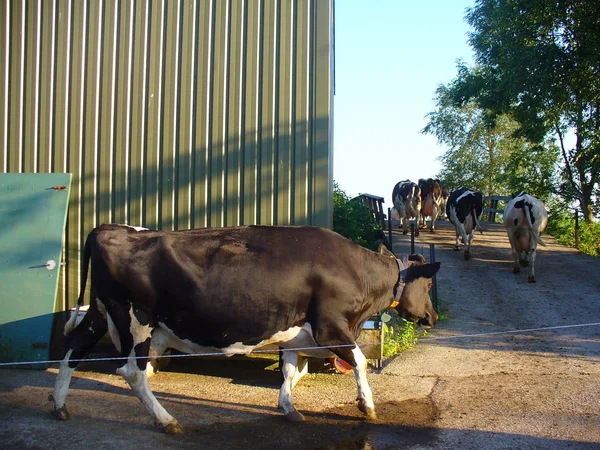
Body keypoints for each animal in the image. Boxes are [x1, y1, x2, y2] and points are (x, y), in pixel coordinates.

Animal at [51, 225, 440, 432]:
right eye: (429, 285)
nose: (433, 318)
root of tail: (109, 228)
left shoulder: (296, 334)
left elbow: (292, 371)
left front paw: (288, 407)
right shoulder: (330, 328)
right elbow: (358, 361)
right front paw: (367, 406)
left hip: (100, 311)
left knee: (72, 349)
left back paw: (58, 405)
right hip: (135, 320)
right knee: (132, 371)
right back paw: (166, 420)